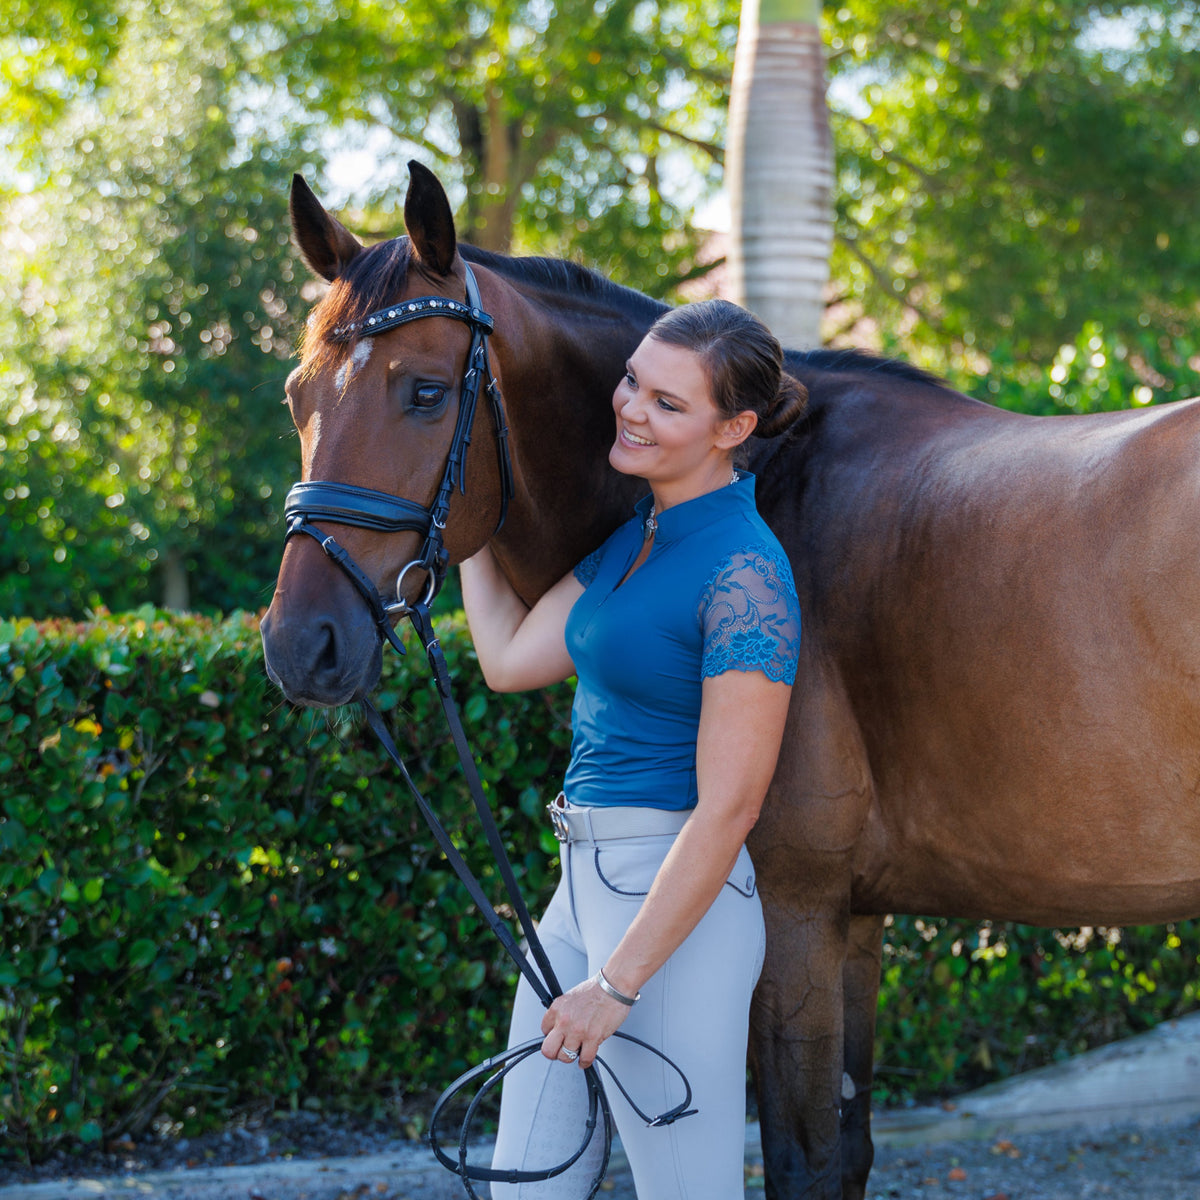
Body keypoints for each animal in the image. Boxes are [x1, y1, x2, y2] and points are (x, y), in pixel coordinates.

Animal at [258, 162, 1200, 1200]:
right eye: (298, 395)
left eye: (425, 392)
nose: (302, 644)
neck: (766, 477)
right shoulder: (855, 917)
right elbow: (847, 1146)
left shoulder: (792, 909)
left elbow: (803, 1157)